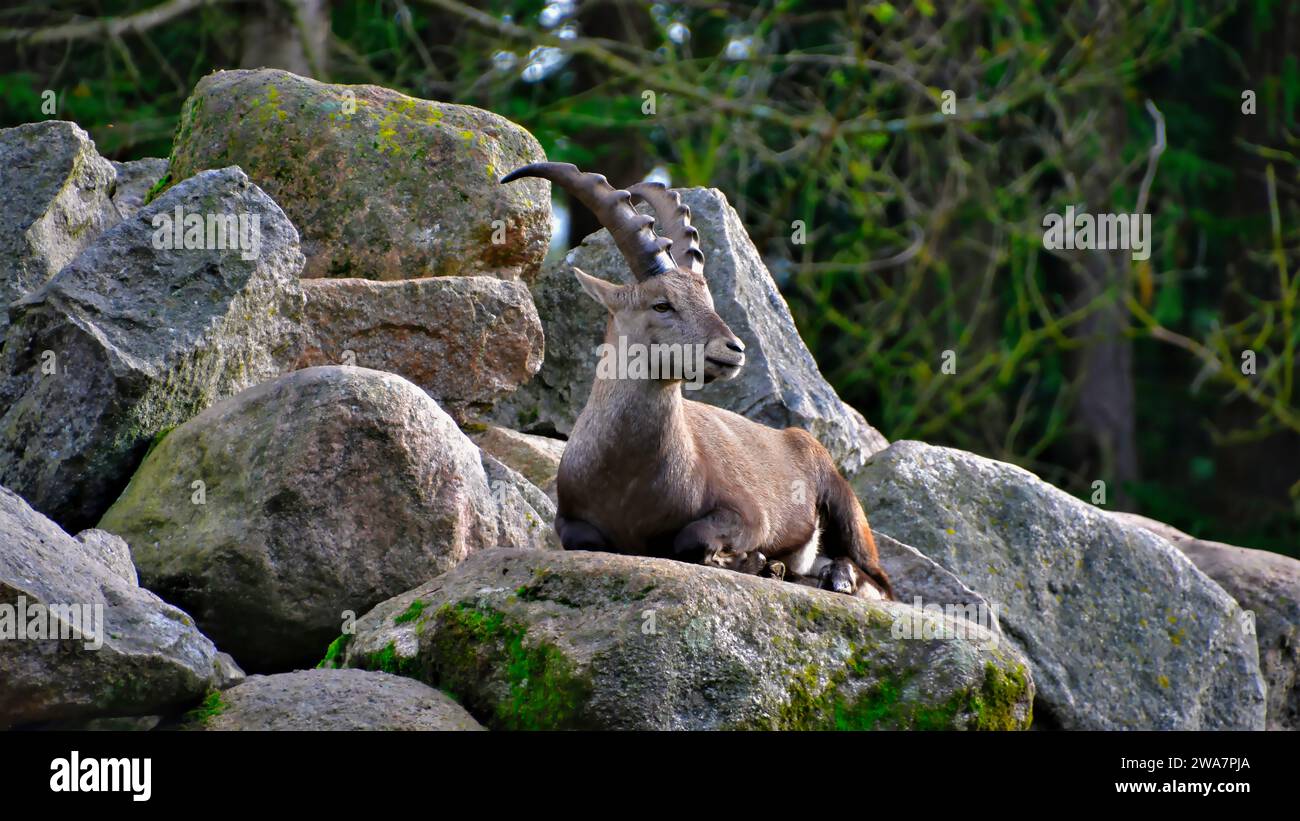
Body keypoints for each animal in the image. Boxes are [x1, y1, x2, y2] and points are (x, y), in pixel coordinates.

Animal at [501, 163, 893, 599]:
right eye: (661, 305)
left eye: (708, 302)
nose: (734, 348)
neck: (628, 477)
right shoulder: (570, 519)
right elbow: (583, 538)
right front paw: (759, 563)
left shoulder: (748, 513)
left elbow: (694, 538)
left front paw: (749, 560)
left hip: (843, 504)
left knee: (879, 579)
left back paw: (835, 577)